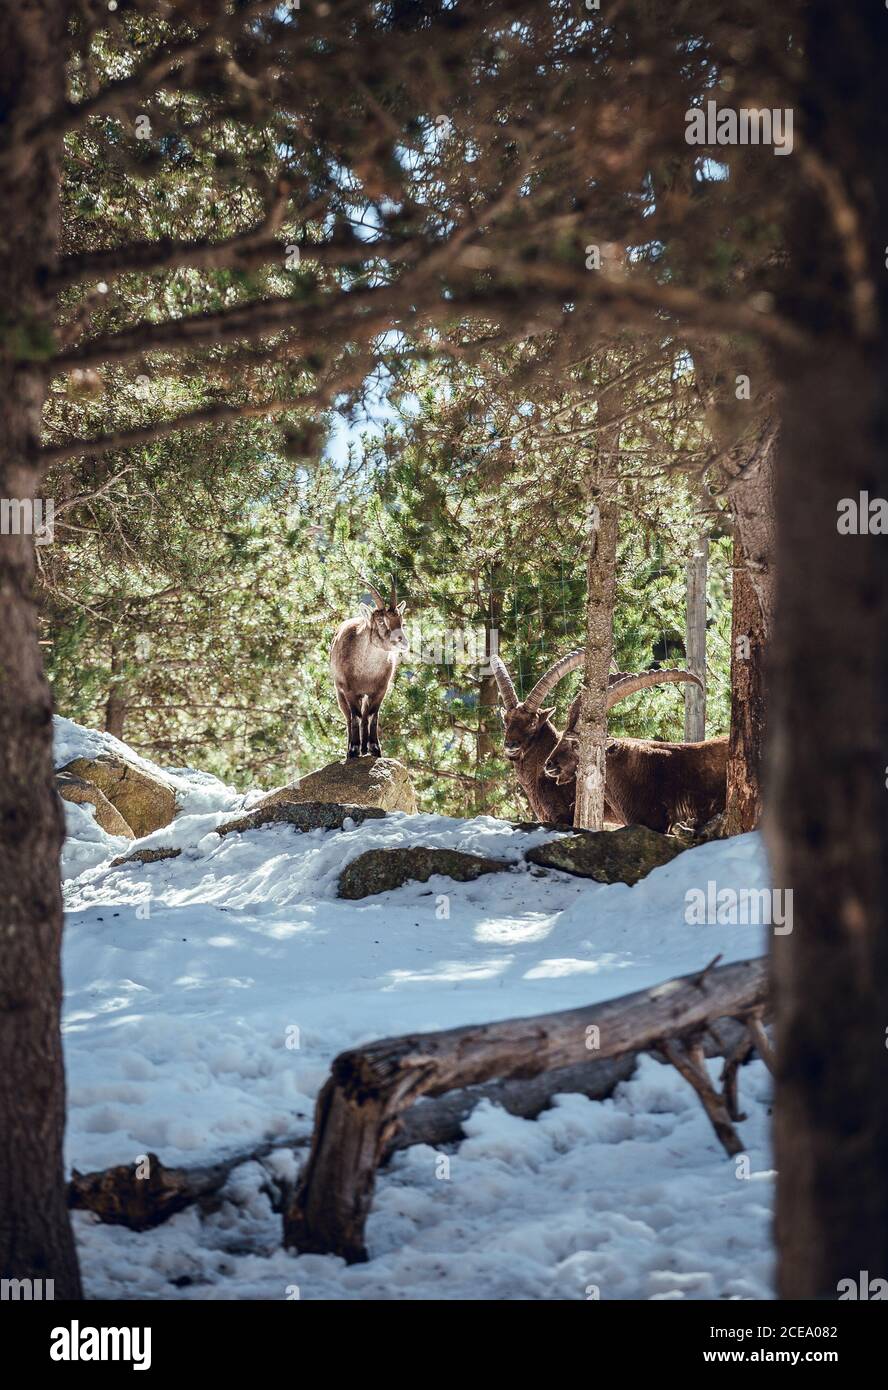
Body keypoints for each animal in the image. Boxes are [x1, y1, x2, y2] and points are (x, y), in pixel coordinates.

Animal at [330, 578, 411, 761]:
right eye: (381, 621)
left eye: (401, 620)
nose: (403, 641)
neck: (366, 673)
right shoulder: (349, 690)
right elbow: (355, 716)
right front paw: (353, 750)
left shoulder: (380, 690)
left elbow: (373, 715)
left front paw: (375, 748)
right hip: (340, 693)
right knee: (349, 717)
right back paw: (353, 748)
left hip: (366, 695)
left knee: (366, 716)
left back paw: (365, 748)